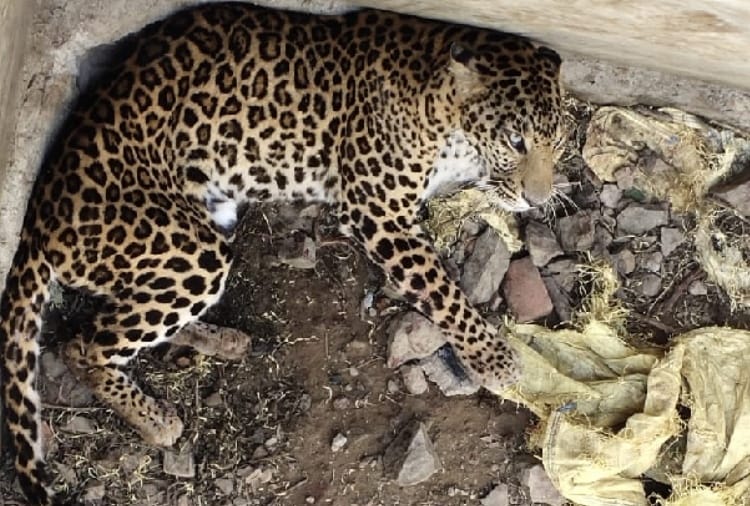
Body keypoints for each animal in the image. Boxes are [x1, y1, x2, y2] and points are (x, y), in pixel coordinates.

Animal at [0, 2, 563, 504]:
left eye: (556, 138)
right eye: (515, 139)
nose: (538, 200)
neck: (446, 108)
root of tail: (38, 218)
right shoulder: (377, 210)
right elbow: (443, 289)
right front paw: (492, 358)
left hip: (202, 233)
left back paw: (226, 340)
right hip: (189, 249)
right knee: (83, 345)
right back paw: (158, 421)